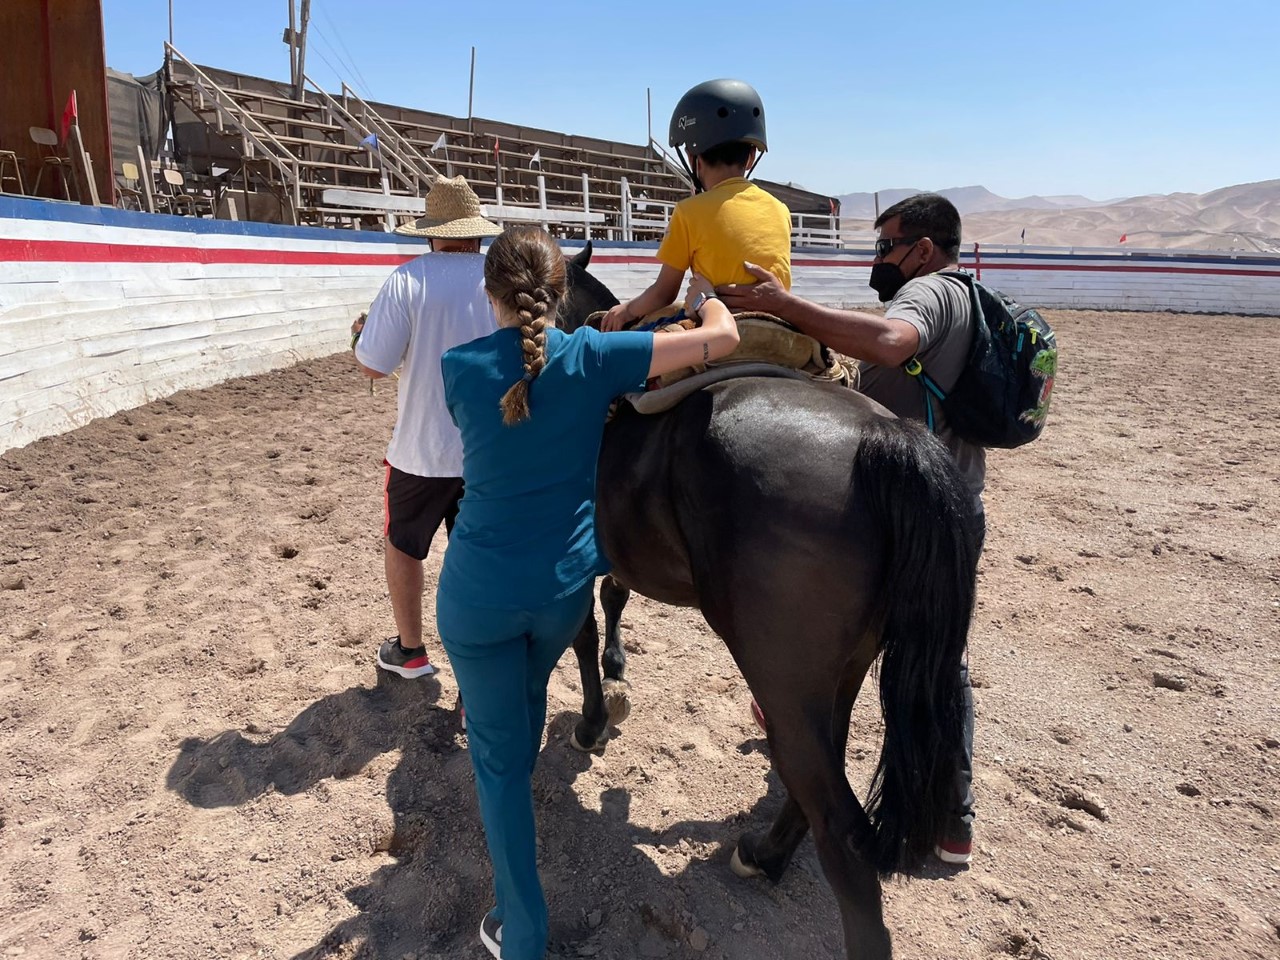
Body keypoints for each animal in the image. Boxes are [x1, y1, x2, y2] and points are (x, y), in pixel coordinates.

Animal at [558, 244, 967, 957]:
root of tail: (886, 440)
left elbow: (583, 626)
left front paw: (591, 721)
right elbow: (612, 599)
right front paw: (616, 677)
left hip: (781, 675)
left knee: (843, 830)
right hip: (835, 675)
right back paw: (764, 855)